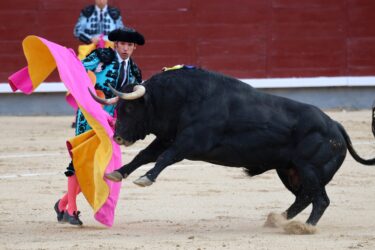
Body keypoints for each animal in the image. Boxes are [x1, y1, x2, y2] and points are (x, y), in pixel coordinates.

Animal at [91, 68, 375, 232]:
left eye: (130, 108)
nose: (117, 137)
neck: (181, 97)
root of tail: (336, 125)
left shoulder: (190, 142)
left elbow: (165, 157)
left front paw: (146, 178)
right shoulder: (167, 137)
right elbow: (145, 155)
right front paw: (117, 173)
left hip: (310, 170)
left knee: (320, 200)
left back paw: (304, 227)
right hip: (289, 171)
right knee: (303, 198)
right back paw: (278, 220)